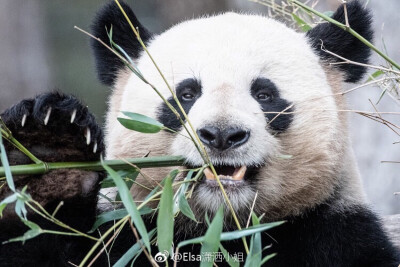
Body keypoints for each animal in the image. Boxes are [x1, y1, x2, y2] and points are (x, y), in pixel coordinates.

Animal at [0, 0, 400, 266]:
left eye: (264, 94)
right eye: (187, 94)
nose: (222, 135)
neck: (224, 231)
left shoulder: (334, 232)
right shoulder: (128, 232)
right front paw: (51, 147)